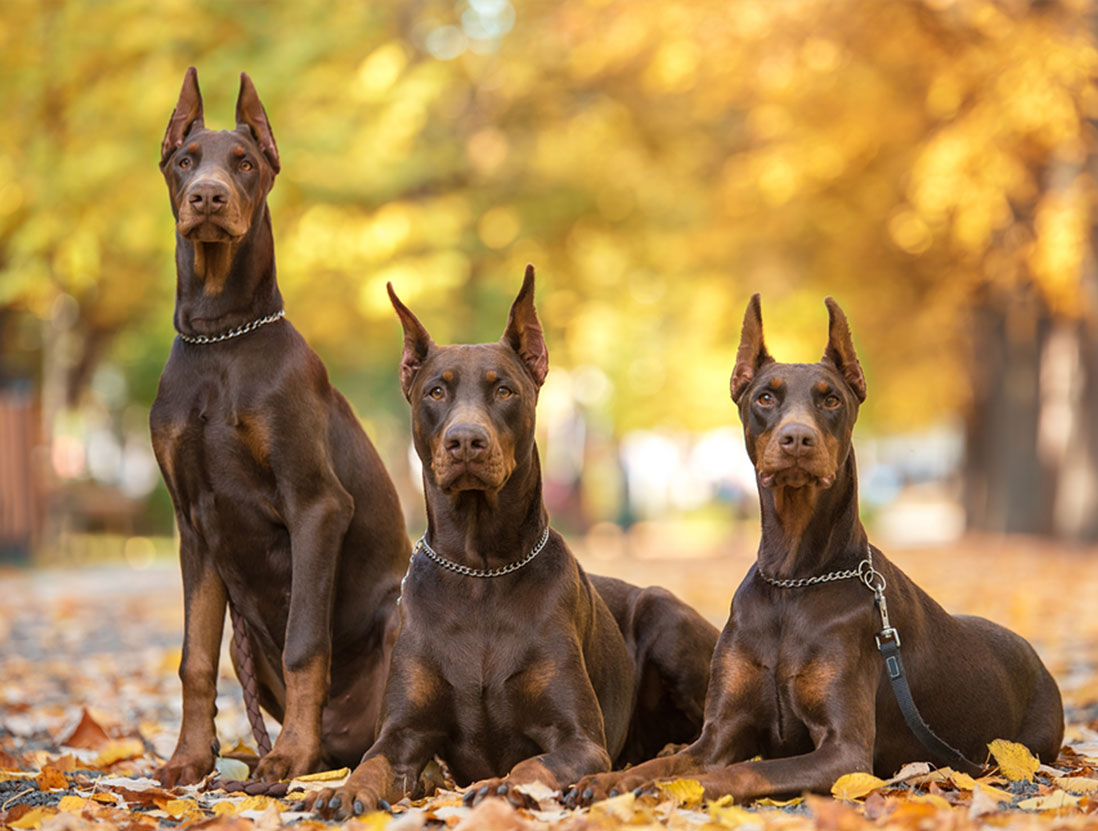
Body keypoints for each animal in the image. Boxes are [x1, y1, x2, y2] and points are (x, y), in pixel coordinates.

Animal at [152, 69, 410, 785]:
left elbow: (305, 644)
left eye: (244, 162)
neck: (220, 338)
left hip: (401, 611)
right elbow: (195, 658)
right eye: (185, 161)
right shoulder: (192, 523)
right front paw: (189, 759)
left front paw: (289, 754)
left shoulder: (316, 505)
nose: (208, 196)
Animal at [309, 267, 720, 816]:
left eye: (503, 390)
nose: (465, 440)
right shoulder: (401, 734)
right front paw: (343, 790)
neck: (480, 569)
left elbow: (532, 765)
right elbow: (371, 763)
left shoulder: (579, 739)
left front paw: (503, 786)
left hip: (667, 619)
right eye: (435, 392)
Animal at [575, 294, 1062, 803]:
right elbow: (665, 762)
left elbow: (736, 773)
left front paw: (671, 789)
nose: (797, 439)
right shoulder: (720, 732)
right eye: (765, 397)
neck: (793, 580)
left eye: (831, 399)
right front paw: (608, 780)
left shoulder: (844, 753)